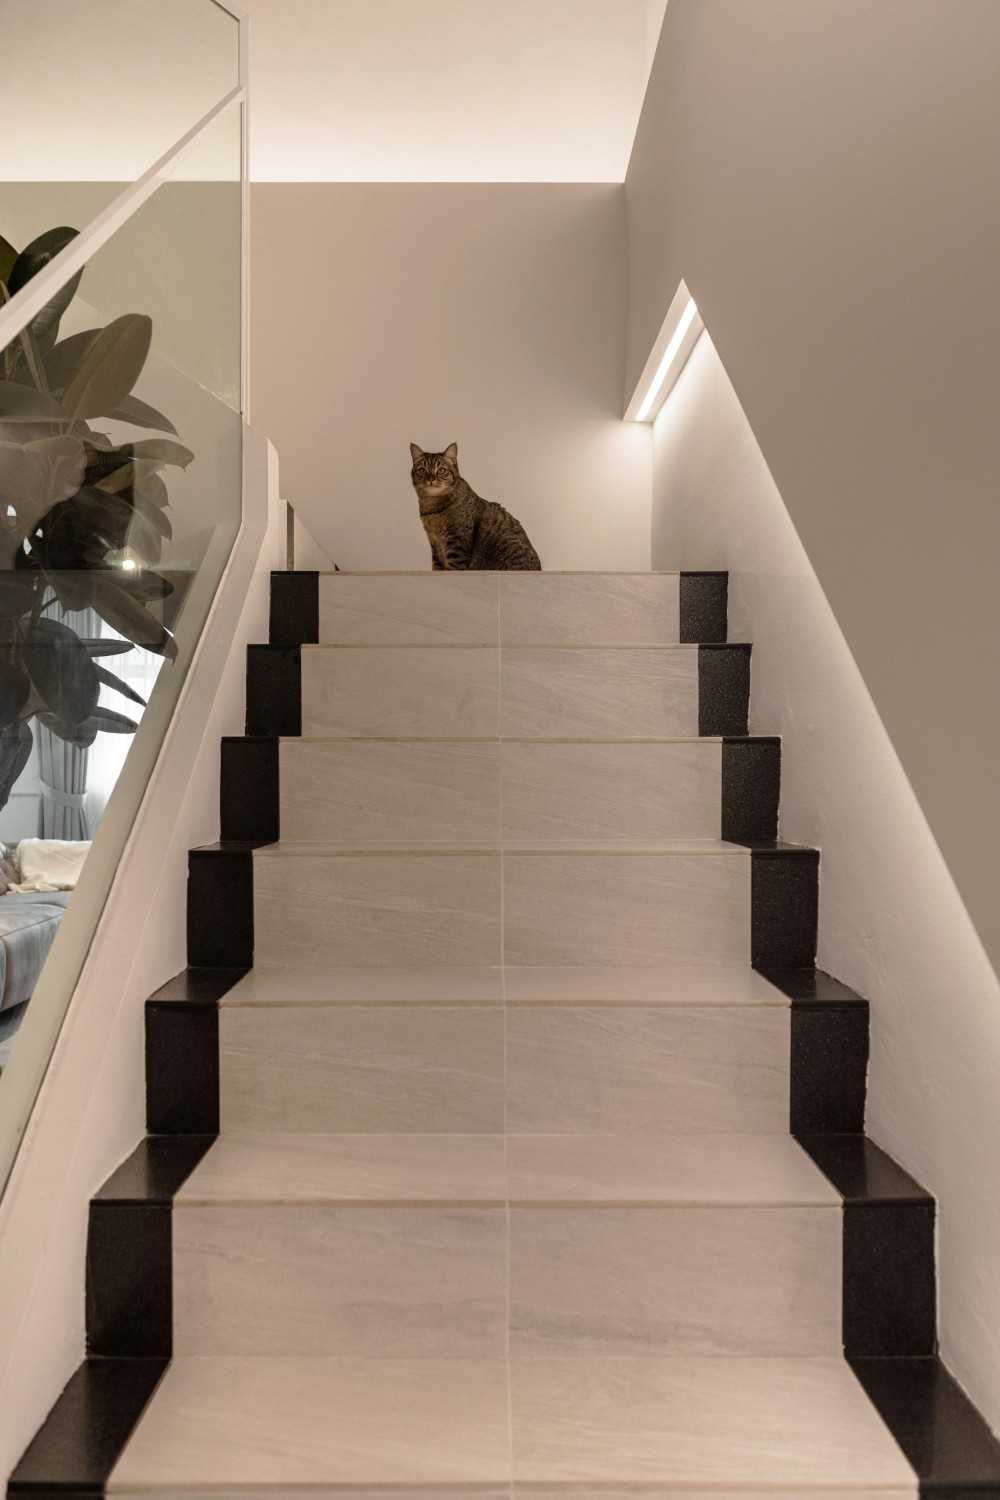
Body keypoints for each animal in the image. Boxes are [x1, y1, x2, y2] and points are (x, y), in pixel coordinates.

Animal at [410, 441, 542, 570]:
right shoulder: (434, 542)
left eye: (442, 470)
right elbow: (436, 565)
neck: (432, 506)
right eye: (422, 470)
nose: (431, 479)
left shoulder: (457, 541)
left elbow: (453, 567)